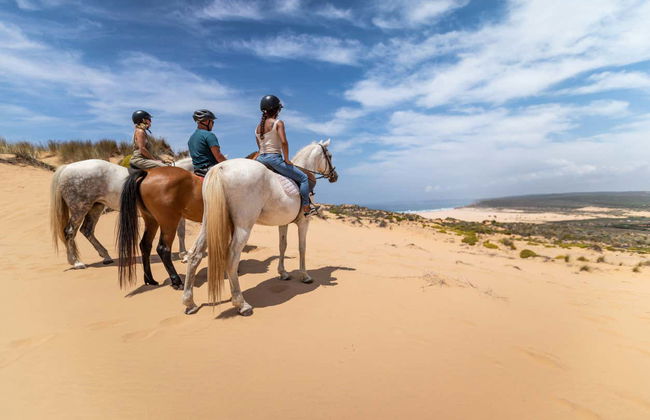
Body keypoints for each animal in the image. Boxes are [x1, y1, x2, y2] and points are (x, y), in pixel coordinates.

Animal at [50, 158, 194, 270]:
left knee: (87, 230)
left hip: (96, 207)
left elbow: (180, 233)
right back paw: (76, 262)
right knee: (70, 232)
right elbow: (181, 232)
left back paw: (105, 256)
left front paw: (184, 254)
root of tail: (67, 167)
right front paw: (184, 255)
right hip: (79, 209)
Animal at [180, 139, 338, 316]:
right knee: (232, 259)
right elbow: (302, 247)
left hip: (209, 223)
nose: (335, 176)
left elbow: (282, 246)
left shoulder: (283, 223)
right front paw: (305, 276)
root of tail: (219, 169)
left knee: (195, 255)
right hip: (243, 227)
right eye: (330, 155)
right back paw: (241, 303)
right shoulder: (304, 222)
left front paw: (283, 273)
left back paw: (189, 302)